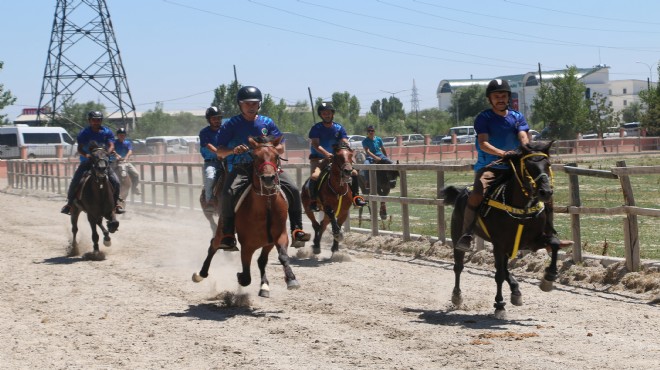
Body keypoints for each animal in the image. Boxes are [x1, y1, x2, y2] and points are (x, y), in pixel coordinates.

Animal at [192, 136, 300, 298]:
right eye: (255, 156)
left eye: (276, 156)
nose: (268, 178)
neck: (266, 206)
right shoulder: (247, 245)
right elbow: (246, 275)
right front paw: (241, 277)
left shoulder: (279, 236)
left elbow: (282, 256)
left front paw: (291, 279)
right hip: (222, 229)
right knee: (213, 245)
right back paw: (200, 274)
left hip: (266, 243)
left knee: (261, 261)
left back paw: (264, 286)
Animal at [440, 140, 564, 320]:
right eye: (529, 166)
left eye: (548, 164)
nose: (545, 192)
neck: (521, 207)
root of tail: (461, 192)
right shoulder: (500, 244)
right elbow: (498, 275)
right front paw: (499, 305)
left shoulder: (531, 242)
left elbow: (554, 243)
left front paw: (549, 278)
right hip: (458, 236)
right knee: (459, 266)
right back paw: (457, 296)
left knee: (503, 268)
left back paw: (516, 290)